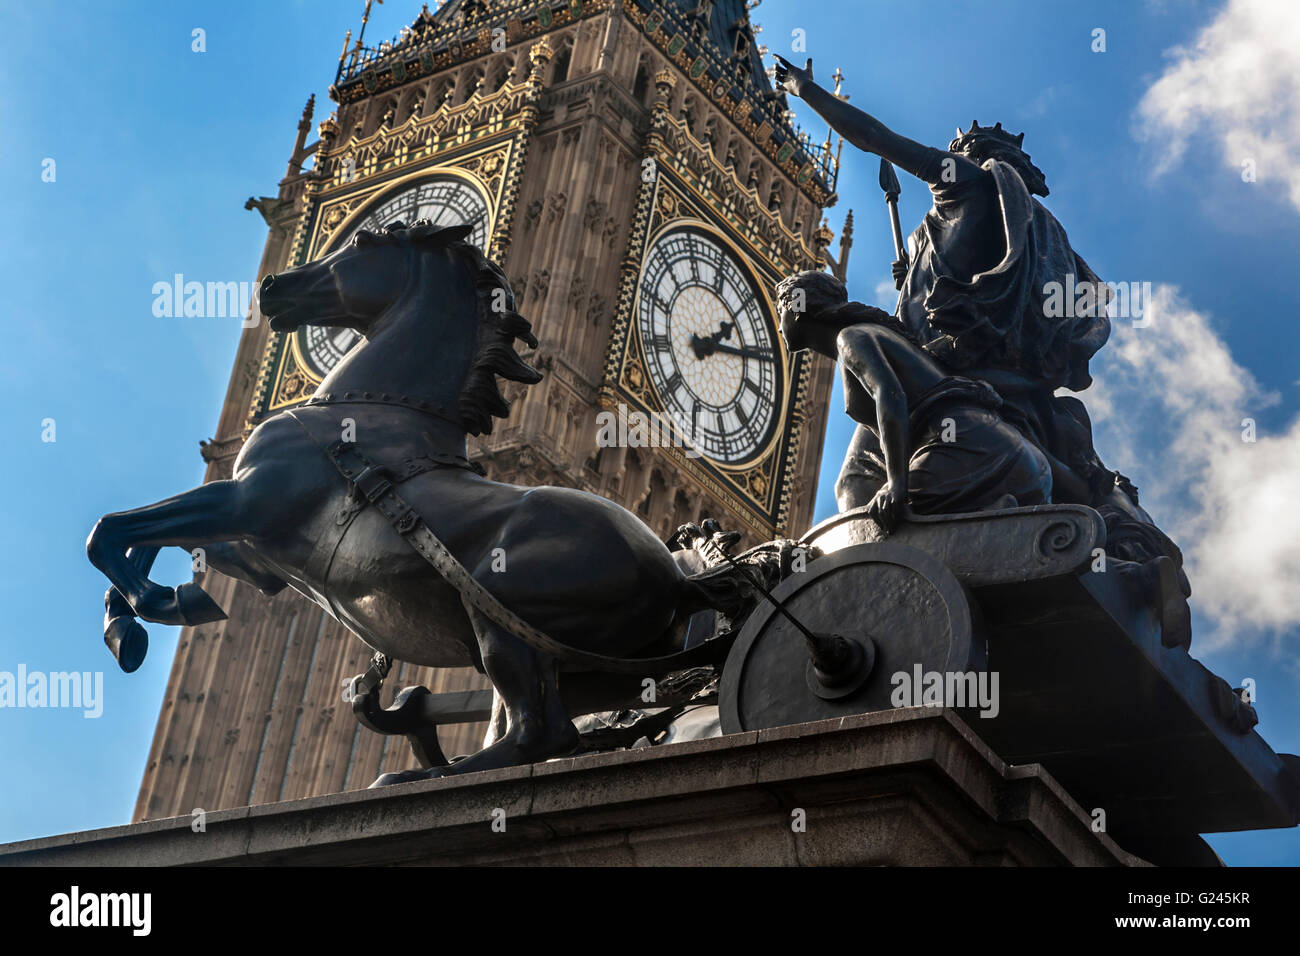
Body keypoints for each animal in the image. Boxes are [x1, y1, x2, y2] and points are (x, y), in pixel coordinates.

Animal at [89, 222, 743, 785]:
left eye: (361, 241)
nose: (273, 286)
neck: (372, 412)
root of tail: (678, 578)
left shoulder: (245, 498)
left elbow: (112, 531)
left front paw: (139, 615)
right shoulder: (262, 550)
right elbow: (160, 543)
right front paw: (163, 606)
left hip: (501, 606)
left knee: (541, 731)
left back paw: (416, 775)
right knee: (553, 723)